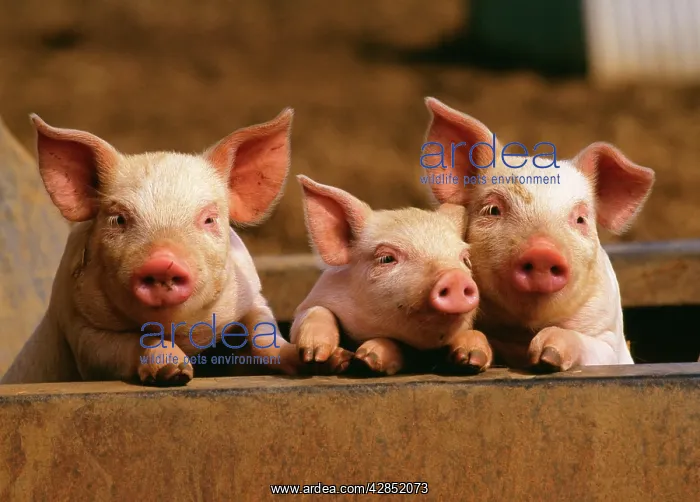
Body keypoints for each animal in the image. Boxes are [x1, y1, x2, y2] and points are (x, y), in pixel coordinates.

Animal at [1, 109, 303, 386]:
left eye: (209, 219)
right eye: (119, 219)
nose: (163, 261)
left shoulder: (251, 294)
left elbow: (264, 331)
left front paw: (308, 359)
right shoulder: (79, 330)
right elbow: (129, 342)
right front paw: (175, 374)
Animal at [289, 175, 492, 376]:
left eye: (465, 259)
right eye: (386, 258)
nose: (455, 277)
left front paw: (471, 360)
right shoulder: (312, 301)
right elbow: (313, 312)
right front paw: (315, 355)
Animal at [421, 97, 656, 372]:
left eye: (580, 219)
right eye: (493, 210)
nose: (543, 251)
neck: (524, 333)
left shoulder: (609, 340)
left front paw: (548, 355)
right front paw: (468, 358)